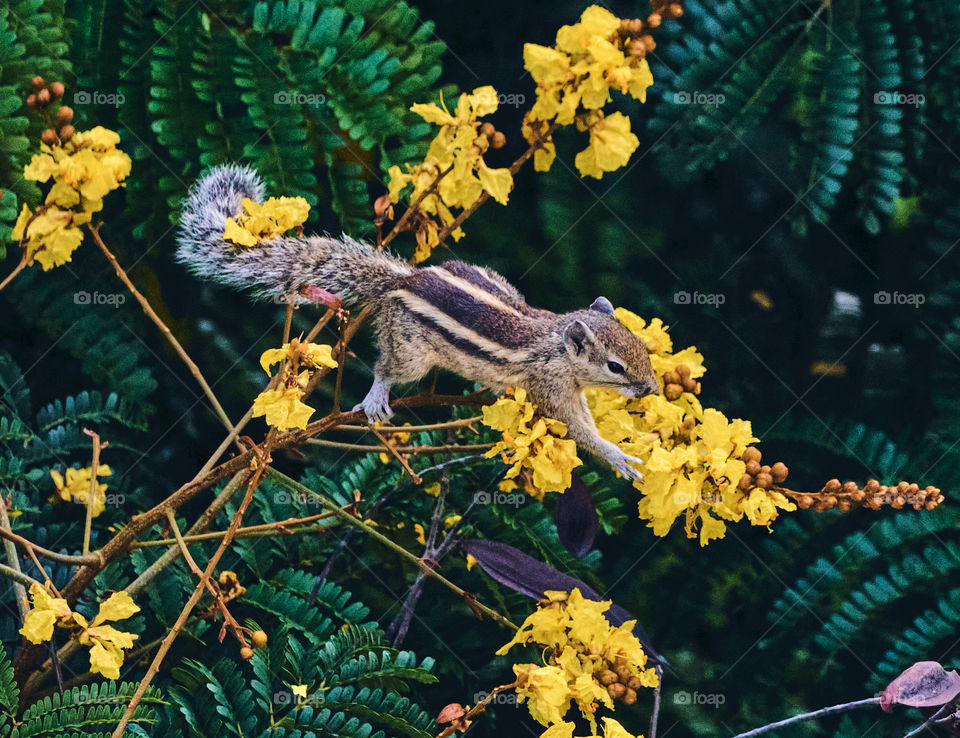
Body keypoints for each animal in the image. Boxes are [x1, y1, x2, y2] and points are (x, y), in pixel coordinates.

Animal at [177, 164, 659, 482]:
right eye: (615, 366)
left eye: (641, 346)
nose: (653, 389)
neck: (556, 345)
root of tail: (404, 279)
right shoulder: (551, 389)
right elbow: (579, 430)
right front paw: (617, 456)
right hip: (410, 351)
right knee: (386, 366)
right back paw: (376, 396)